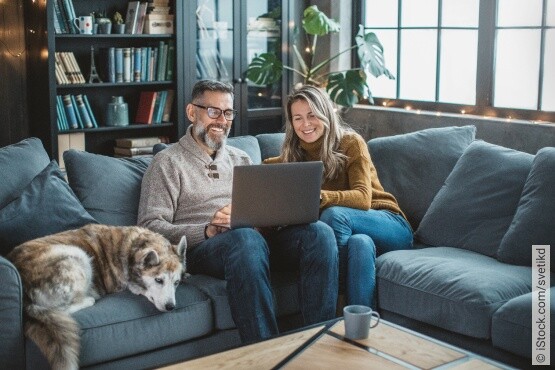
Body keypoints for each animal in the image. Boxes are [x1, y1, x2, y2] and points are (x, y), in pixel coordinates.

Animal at [7, 224, 188, 368]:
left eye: (176, 282)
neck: (133, 248)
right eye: (158, 280)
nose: (171, 307)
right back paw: (89, 298)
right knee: (62, 308)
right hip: (77, 255)